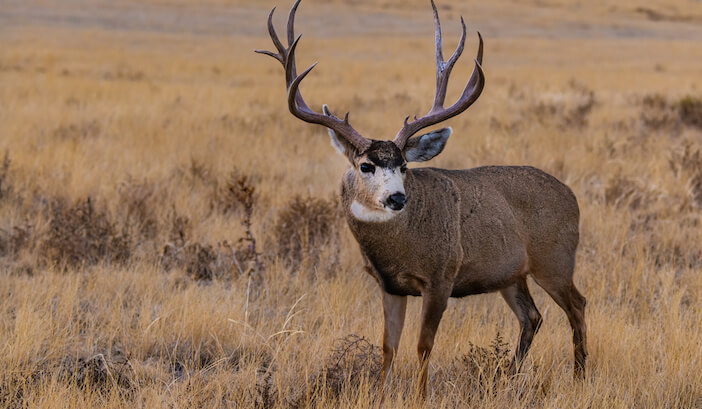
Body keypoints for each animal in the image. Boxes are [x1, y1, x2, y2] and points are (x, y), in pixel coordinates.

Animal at [258, 0, 588, 396]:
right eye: (366, 165)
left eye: (403, 165)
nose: (397, 198)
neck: (398, 249)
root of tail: (571, 196)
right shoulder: (389, 286)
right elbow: (389, 346)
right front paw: (381, 394)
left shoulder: (440, 277)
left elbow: (423, 344)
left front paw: (419, 394)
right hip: (510, 274)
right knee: (532, 317)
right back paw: (506, 380)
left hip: (554, 260)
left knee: (577, 305)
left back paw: (580, 376)